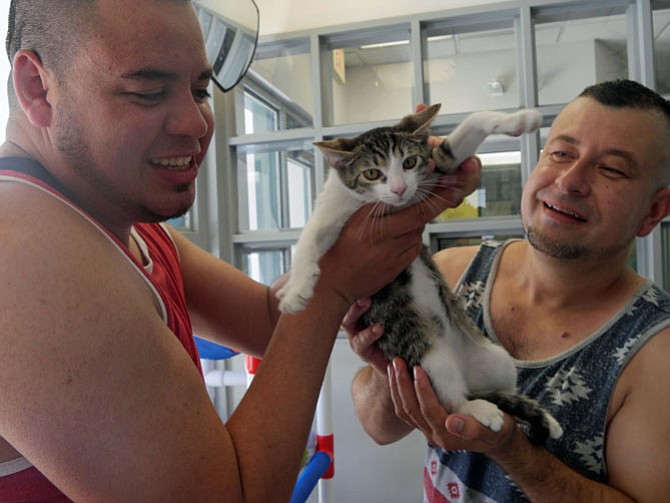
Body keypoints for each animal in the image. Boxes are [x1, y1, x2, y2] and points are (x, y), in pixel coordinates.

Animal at [280, 104, 564, 442]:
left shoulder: (433, 171)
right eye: (372, 173)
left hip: (496, 358)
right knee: (449, 396)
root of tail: (466, 374)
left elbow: (460, 138)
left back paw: (530, 415)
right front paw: (296, 291)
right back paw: (476, 409)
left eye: (409, 162)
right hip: (423, 354)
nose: (400, 189)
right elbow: (311, 237)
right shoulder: (332, 210)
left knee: (497, 387)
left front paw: (519, 119)